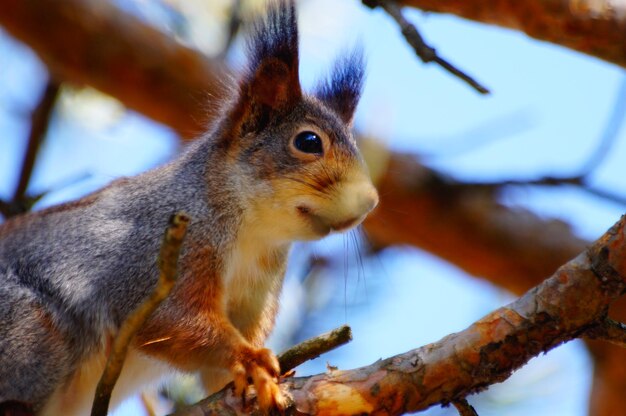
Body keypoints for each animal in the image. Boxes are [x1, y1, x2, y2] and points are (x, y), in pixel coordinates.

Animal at [0, 0, 376, 412]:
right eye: (309, 141)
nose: (370, 200)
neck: (253, 232)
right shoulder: (157, 251)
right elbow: (170, 320)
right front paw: (250, 358)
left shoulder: (257, 291)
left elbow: (218, 377)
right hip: (32, 332)